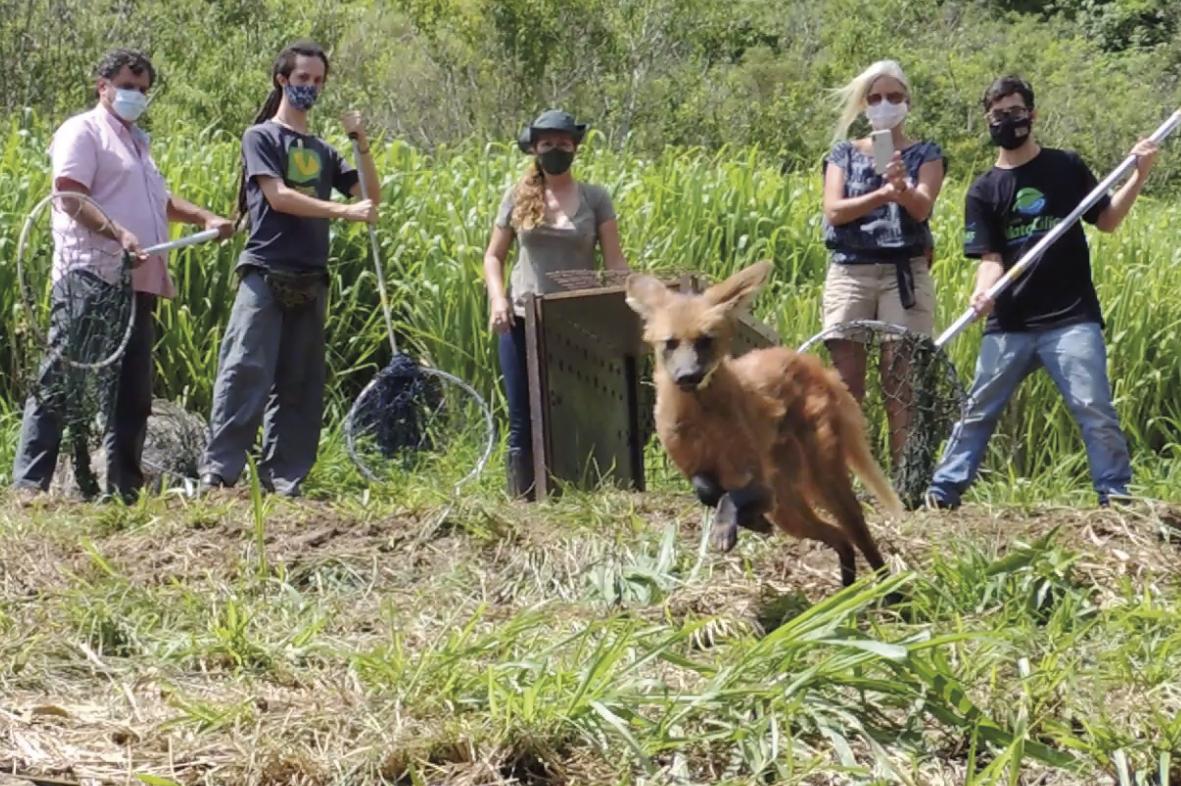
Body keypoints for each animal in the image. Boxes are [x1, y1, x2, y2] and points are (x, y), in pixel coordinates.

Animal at [628, 258, 902, 587]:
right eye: (671, 343)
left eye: (705, 341)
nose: (687, 376)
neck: (702, 419)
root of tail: (813, 365)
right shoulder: (700, 467)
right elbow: (706, 489)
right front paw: (749, 521)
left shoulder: (759, 482)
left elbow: (730, 496)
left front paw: (728, 527)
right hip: (790, 512)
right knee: (841, 539)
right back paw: (846, 593)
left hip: (822, 483)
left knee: (860, 536)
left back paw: (890, 591)